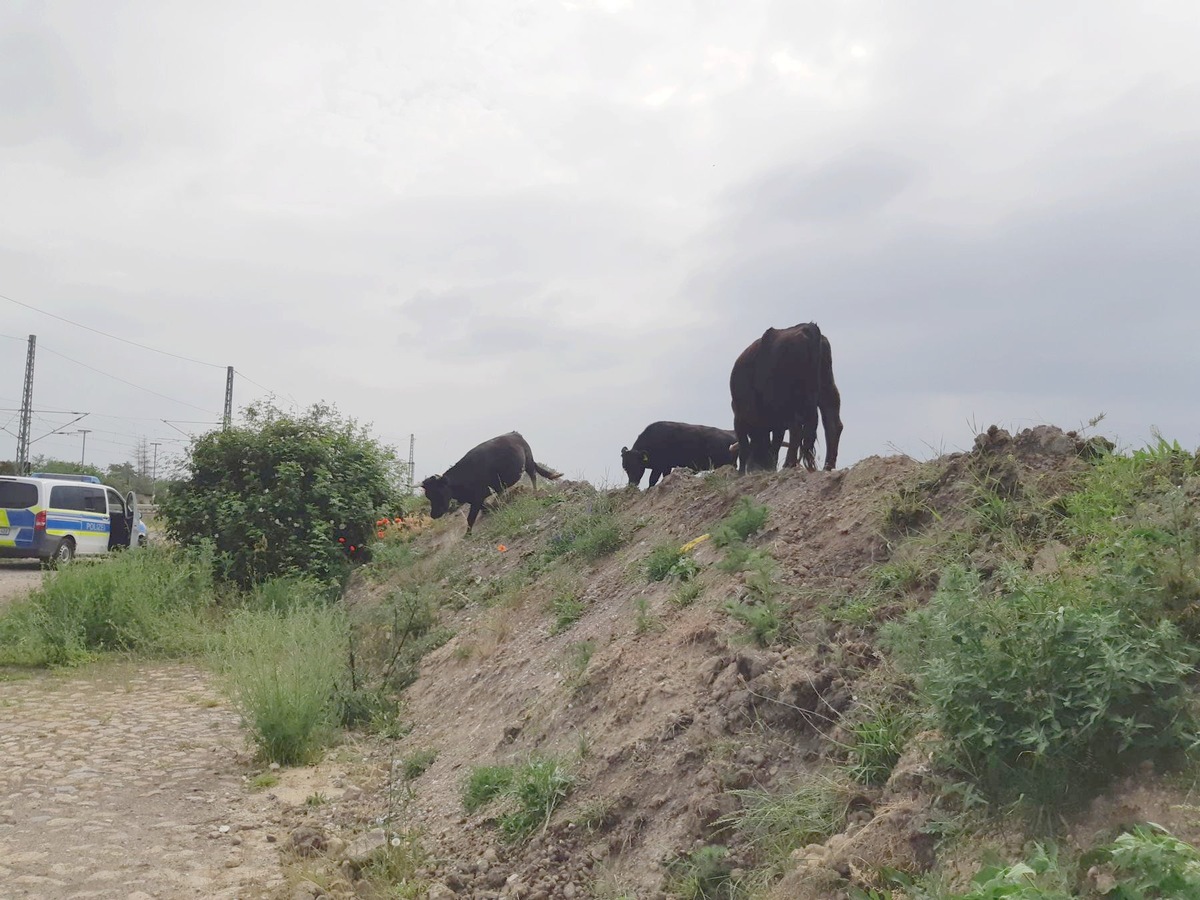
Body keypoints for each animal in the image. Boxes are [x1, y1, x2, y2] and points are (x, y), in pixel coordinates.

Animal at [422, 432, 561, 532]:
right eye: (428, 496)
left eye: (439, 493)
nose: (433, 515)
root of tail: (514, 433)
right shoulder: (473, 498)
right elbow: (482, 507)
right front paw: (490, 509)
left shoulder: (477, 496)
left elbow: (470, 518)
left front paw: (467, 534)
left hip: (528, 461)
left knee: (533, 475)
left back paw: (535, 492)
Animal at [724, 326, 840, 480]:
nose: (759, 467)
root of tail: (808, 327)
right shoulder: (777, 425)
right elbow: (775, 445)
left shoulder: (739, 418)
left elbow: (745, 447)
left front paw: (741, 472)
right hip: (827, 387)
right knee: (833, 423)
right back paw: (828, 465)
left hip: (789, 400)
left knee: (796, 428)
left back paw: (789, 464)